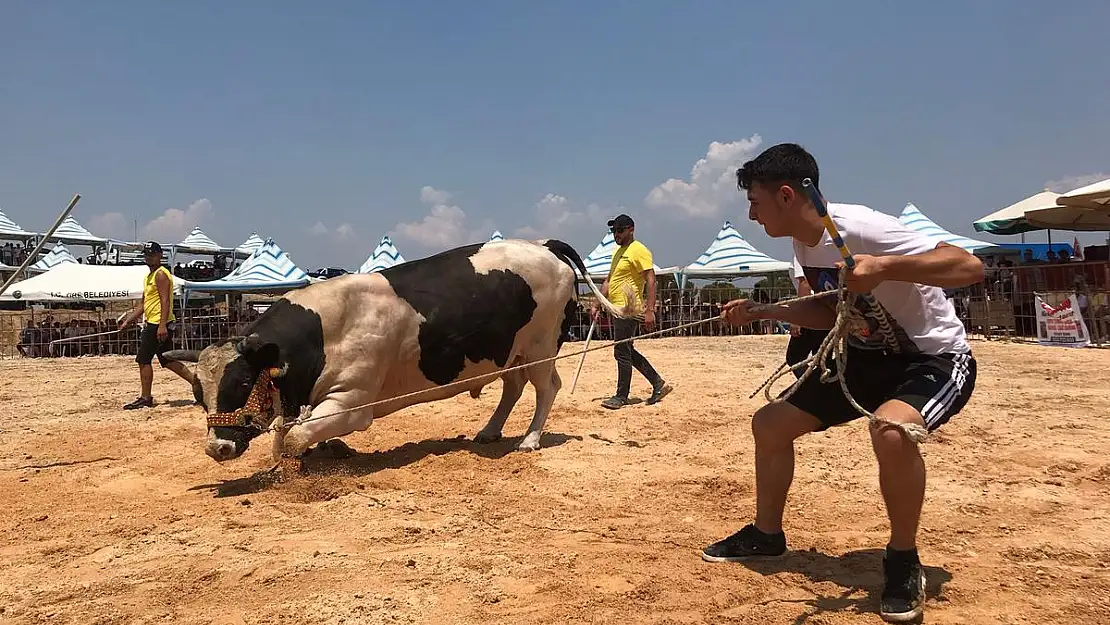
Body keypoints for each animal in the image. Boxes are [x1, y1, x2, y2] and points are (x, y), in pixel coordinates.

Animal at [162, 239, 626, 470]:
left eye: (242, 382)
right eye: (198, 395)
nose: (217, 447)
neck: (322, 331)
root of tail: (543, 245)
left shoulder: (353, 402)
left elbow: (292, 437)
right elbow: (289, 431)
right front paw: (323, 449)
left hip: (540, 348)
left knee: (546, 388)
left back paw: (529, 439)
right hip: (507, 352)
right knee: (512, 388)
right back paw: (490, 431)